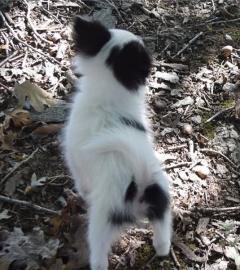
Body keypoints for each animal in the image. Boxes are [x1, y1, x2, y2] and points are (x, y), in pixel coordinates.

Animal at [63, 16, 172, 270]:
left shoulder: (75, 160)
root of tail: (139, 180)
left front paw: (81, 194)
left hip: (101, 221)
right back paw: (160, 248)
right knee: (163, 237)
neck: (108, 96)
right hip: (161, 202)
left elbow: (81, 183)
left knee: (99, 255)